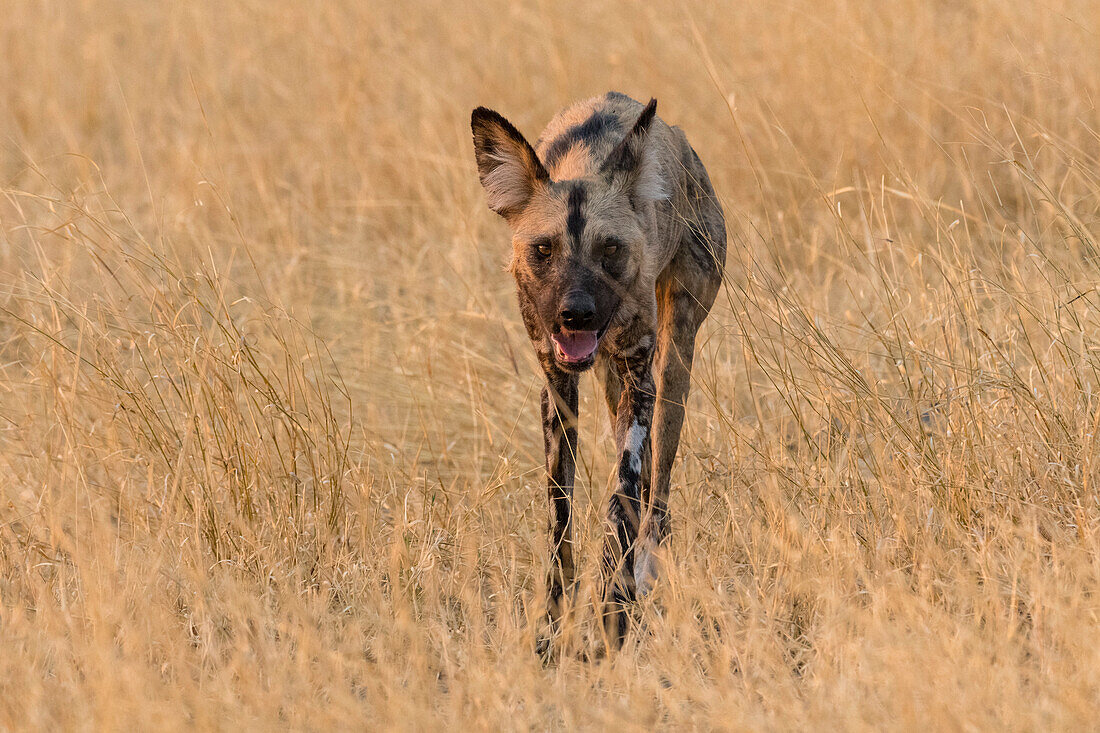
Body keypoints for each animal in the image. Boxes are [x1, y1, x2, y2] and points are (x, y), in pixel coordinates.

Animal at [468, 93, 726, 651]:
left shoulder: (637, 377)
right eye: (543, 250)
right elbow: (559, 510)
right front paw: (551, 622)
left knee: (658, 484)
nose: (577, 314)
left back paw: (646, 570)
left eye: (610, 249)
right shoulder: (558, 384)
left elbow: (621, 492)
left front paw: (614, 607)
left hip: (672, 363)